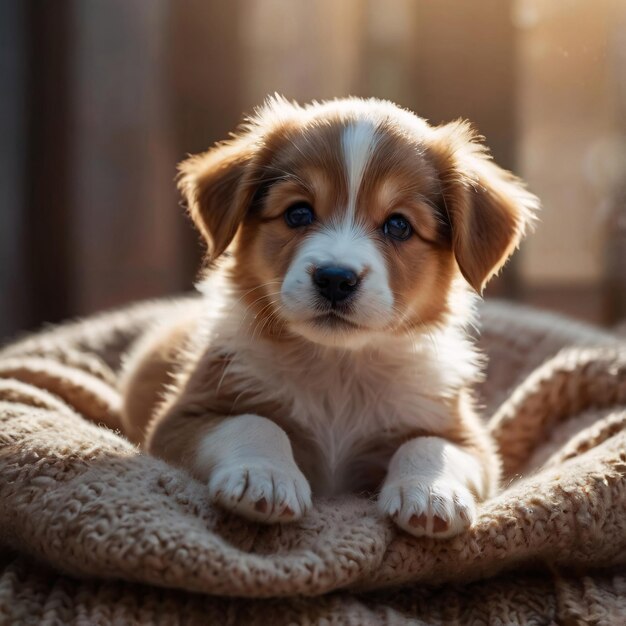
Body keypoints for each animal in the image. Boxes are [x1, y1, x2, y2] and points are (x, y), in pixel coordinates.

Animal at [120, 96, 536, 536]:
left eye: (399, 225)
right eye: (298, 213)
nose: (336, 279)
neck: (339, 368)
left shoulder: (470, 440)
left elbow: (426, 443)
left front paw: (430, 492)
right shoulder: (181, 419)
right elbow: (253, 422)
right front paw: (265, 476)